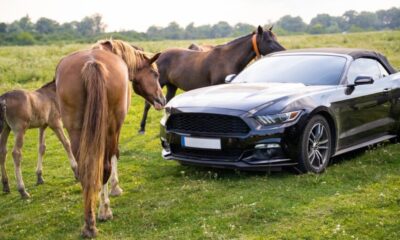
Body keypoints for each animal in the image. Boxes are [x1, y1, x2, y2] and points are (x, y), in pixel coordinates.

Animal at [55, 39, 164, 238]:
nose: (162, 99)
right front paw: (115, 189)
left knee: (86, 171)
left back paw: (89, 223)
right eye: (155, 74)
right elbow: (115, 155)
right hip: (112, 126)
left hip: (75, 130)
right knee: (104, 166)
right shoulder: (116, 129)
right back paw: (104, 211)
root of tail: (92, 63)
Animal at [139, 25, 286, 133]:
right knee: (147, 104)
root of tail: (157, 56)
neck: (228, 59)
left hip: (171, 85)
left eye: (276, 38)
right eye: (269, 41)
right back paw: (142, 128)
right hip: (159, 83)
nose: (283, 51)